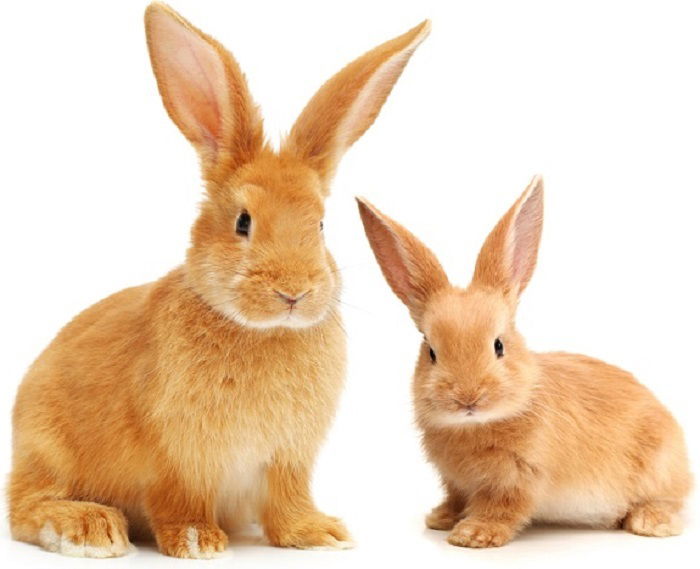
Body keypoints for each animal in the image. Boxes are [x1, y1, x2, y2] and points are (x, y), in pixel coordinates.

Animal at [8, 1, 430, 560]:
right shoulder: (179, 458)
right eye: (243, 222)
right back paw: (89, 528)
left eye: (320, 225)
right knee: (24, 507)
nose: (293, 292)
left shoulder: (288, 458)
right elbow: (180, 501)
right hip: (46, 445)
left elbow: (288, 501)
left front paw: (317, 533)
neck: (262, 332)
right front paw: (197, 541)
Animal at [358, 176, 692, 544]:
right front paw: (441, 518)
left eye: (499, 345)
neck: (478, 423)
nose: (467, 397)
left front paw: (473, 534)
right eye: (431, 351)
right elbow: (456, 497)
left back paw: (651, 523)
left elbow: (503, 507)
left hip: (657, 468)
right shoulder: (455, 480)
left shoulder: (519, 477)